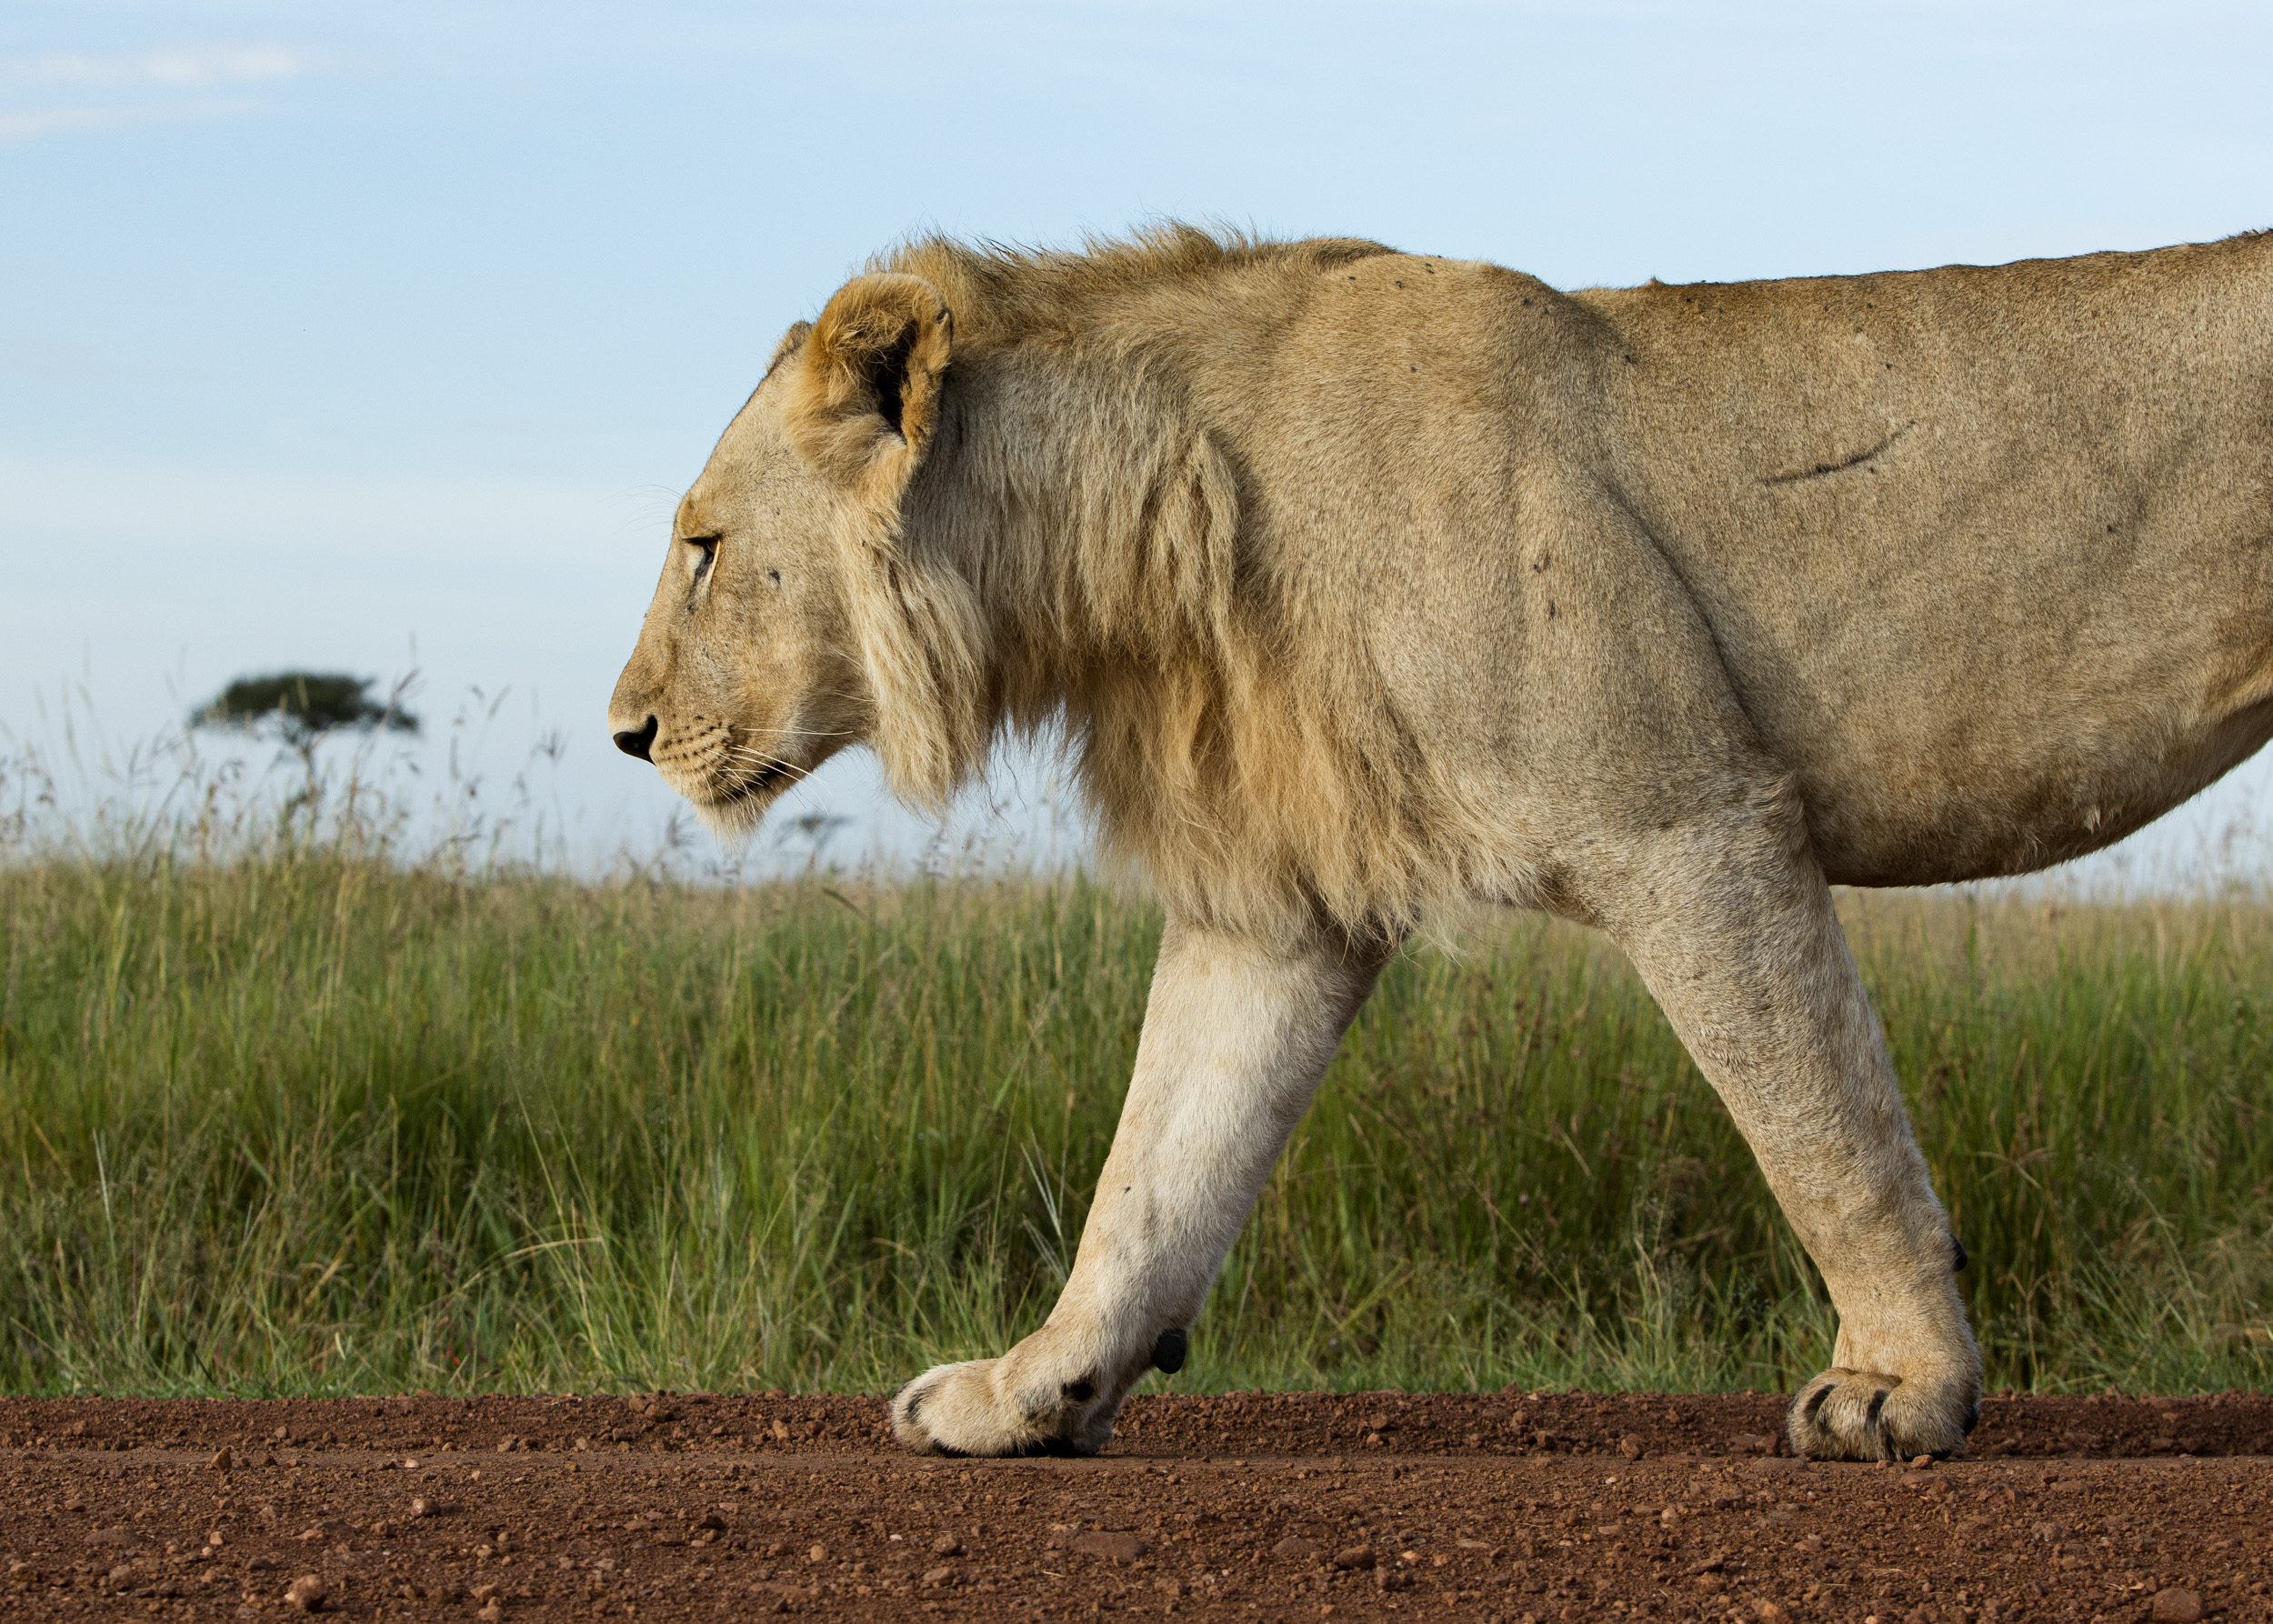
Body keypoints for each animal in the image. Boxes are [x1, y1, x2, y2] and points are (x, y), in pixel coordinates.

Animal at [605, 224, 2273, 1455]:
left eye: (703, 549)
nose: (626, 733)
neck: (1144, 548)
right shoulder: (1272, 908)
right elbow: (1152, 1176)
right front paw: (1029, 1391)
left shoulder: (1689, 816)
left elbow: (1823, 1128)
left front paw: (1901, 1388)